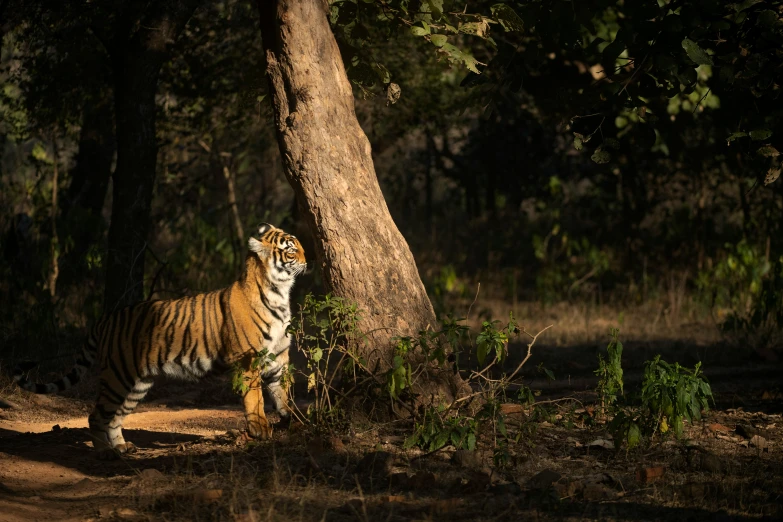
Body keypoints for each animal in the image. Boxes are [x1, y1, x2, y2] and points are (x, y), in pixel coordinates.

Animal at [13, 222, 306, 456]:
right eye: (291, 250)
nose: (307, 261)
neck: (280, 295)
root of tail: (106, 318)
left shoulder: (278, 359)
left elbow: (283, 394)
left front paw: (296, 421)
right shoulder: (248, 359)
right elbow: (255, 398)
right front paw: (260, 430)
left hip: (136, 383)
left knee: (115, 416)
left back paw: (122, 447)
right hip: (117, 375)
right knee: (96, 415)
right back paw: (105, 452)